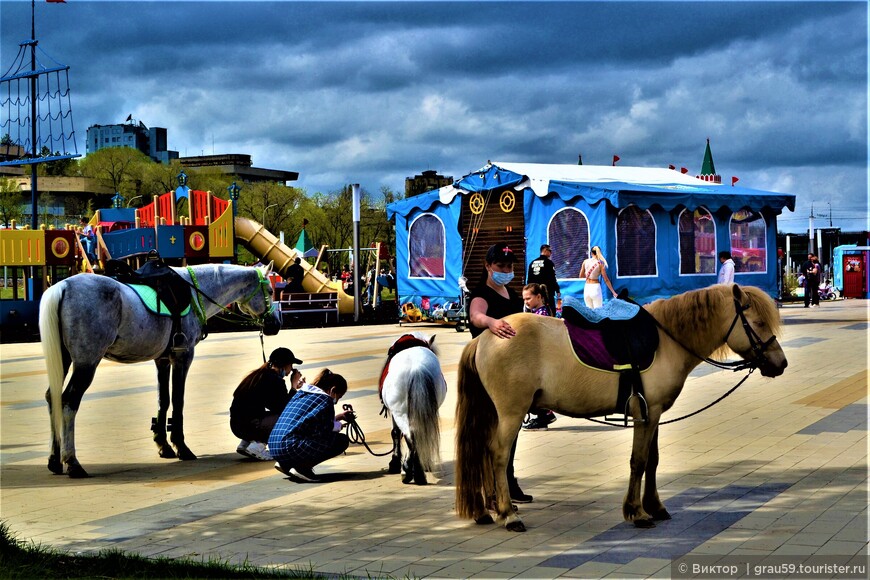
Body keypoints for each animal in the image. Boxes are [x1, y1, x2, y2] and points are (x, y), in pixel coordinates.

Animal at [39, 262, 282, 476]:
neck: (195, 292)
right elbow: (178, 401)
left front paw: (163, 445)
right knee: (69, 401)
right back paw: (72, 462)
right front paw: (181, 447)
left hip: (64, 359)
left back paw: (54, 459)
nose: (275, 324)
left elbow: (163, 400)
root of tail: (63, 286)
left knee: (53, 398)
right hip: (86, 363)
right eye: (270, 290)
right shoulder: (183, 356)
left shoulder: (162, 360)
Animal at [382, 330, 450, 484]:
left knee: (410, 435)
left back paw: (410, 472)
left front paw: (395, 463)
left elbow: (395, 433)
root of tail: (416, 368)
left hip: (400, 412)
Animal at [456, 284, 792, 532]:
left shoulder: (653, 415)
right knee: (498, 455)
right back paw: (508, 515)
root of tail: (487, 336)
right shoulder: (648, 413)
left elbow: (653, 461)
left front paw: (654, 506)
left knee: (486, 454)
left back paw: (489, 510)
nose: (781, 363)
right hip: (511, 413)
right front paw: (637, 512)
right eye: (758, 322)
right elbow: (639, 461)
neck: (666, 341)